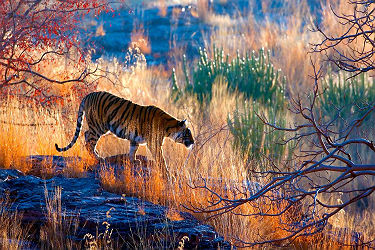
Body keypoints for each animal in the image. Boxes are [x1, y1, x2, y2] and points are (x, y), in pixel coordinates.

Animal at [56, 91, 197, 178]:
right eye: (188, 133)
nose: (194, 142)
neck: (168, 127)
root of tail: (89, 95)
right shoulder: (154, 144)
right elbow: (161, 159)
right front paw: (167, 173)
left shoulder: (135, 139)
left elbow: (132, 150)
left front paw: (133, 161)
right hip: (98, 126)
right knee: (89, 140)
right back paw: (98, 157)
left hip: (97, 126)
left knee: (86, 134)